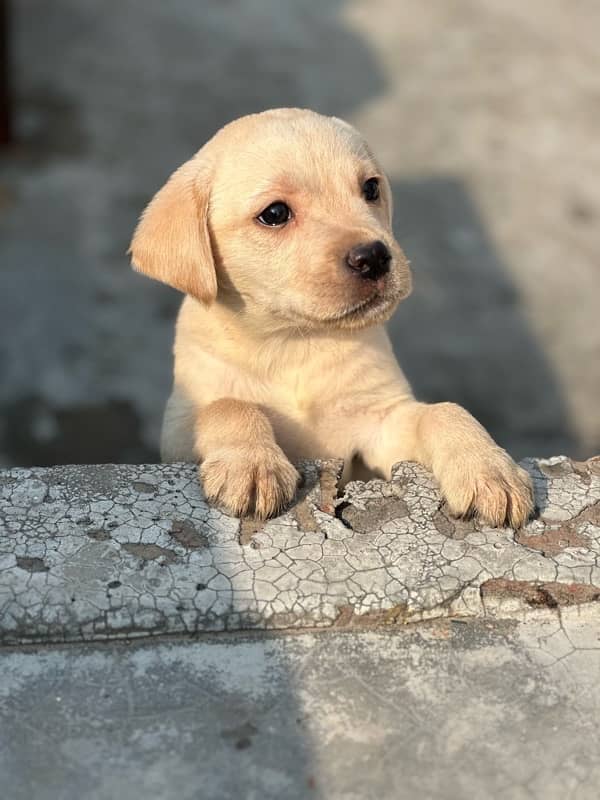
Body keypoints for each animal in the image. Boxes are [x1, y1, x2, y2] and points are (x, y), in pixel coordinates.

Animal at [129, 109, 532, 528]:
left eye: (370, 188)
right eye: (275, 214)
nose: (374, 257)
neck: (295, 341)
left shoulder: (380, 423)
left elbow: (444, 412)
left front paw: (488, 467)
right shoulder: (178, 428)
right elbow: (225, 406)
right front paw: (252, 466)